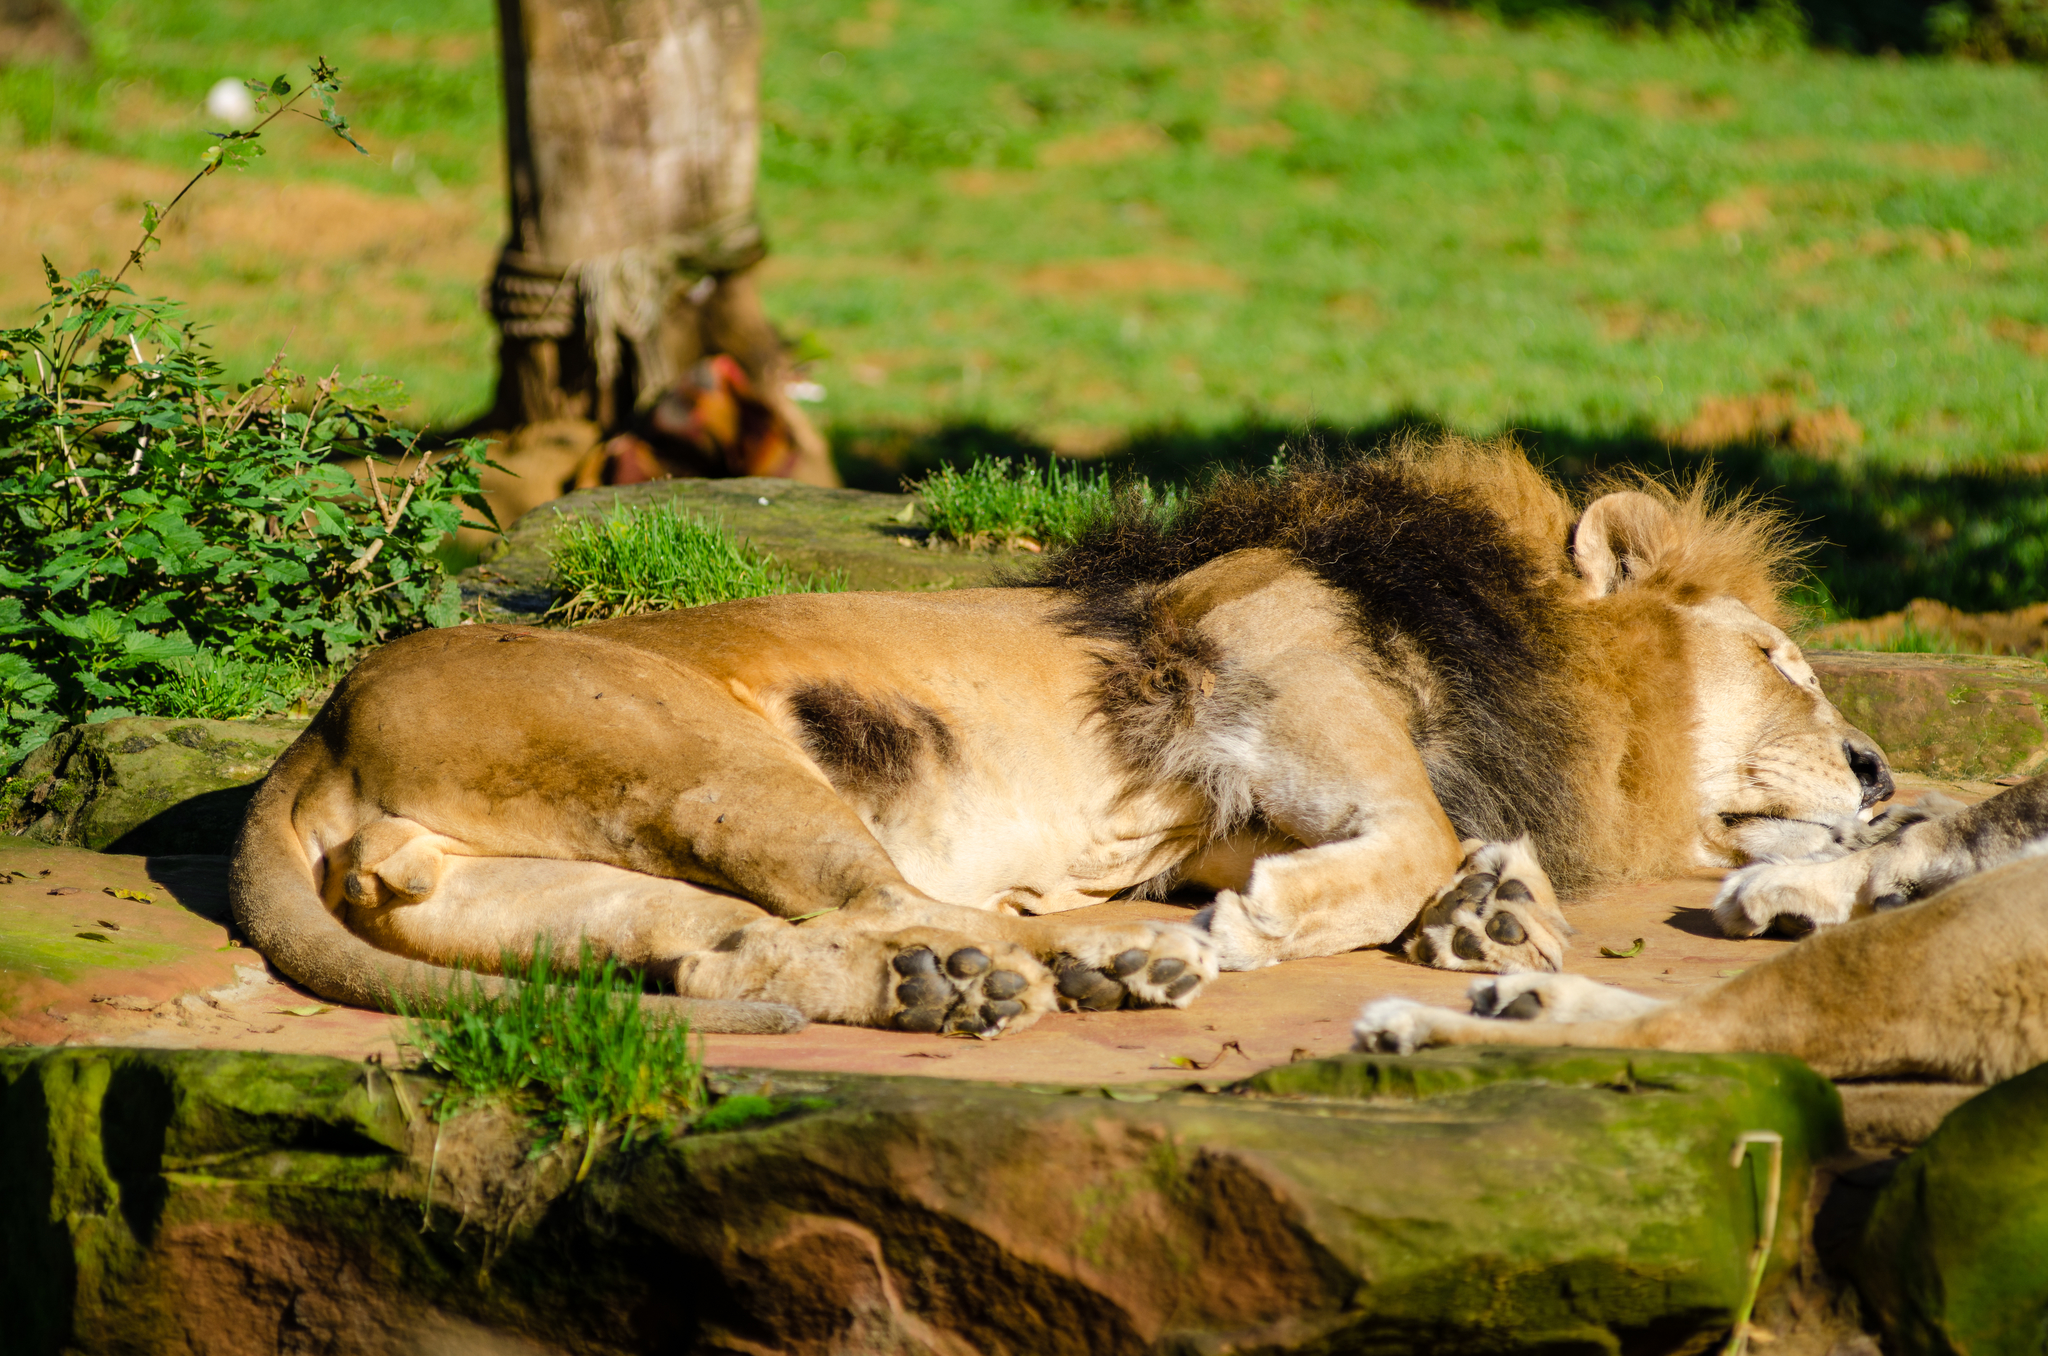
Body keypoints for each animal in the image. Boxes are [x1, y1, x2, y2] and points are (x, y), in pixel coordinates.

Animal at [224, 440, 1884, 1036]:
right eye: (1778, 658)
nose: (1876, 772)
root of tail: (317, 735)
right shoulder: (1260, 667)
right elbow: (1404, 837)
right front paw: (1298, 921)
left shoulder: (1234, 801)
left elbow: (1438, 849)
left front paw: (1492, 914)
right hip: (711, 756)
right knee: (883, 896)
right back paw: (1099, 961)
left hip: (556, 877)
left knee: (729, 953)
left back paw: (961, 986)